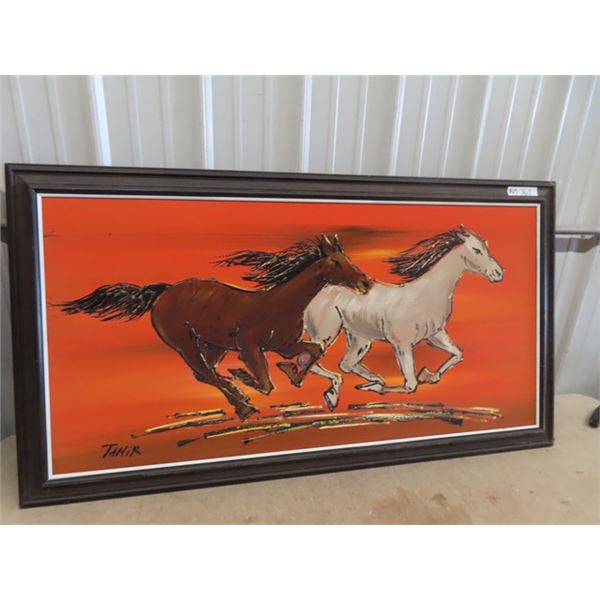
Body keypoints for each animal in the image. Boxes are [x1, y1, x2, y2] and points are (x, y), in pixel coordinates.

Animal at [59, 234, 371, 421]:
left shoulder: (284, 345)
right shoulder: (250, 347)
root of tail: (162, 292)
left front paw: (296, 376)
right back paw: (243, 403)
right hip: (186, 344)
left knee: (204, 373)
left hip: (214, 345)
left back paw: (240, 398)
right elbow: (266, 384)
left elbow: (314, 351)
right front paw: (246, 379)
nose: (365, 282)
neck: (279, 303)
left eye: (348, 259)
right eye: (336, 262)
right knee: (204, 373)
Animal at [303, 226, 504, 409]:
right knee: (312, 363)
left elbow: (458, 354)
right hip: (325, 335)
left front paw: (430, 375)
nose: (499, 273)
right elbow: (411, 385)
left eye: (486, 246)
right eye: (476, 250)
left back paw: (364, 383)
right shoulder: (402, 344)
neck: (428, 293)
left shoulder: (435, 335)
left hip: (360, 339)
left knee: (346, 364)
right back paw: (333, 396)